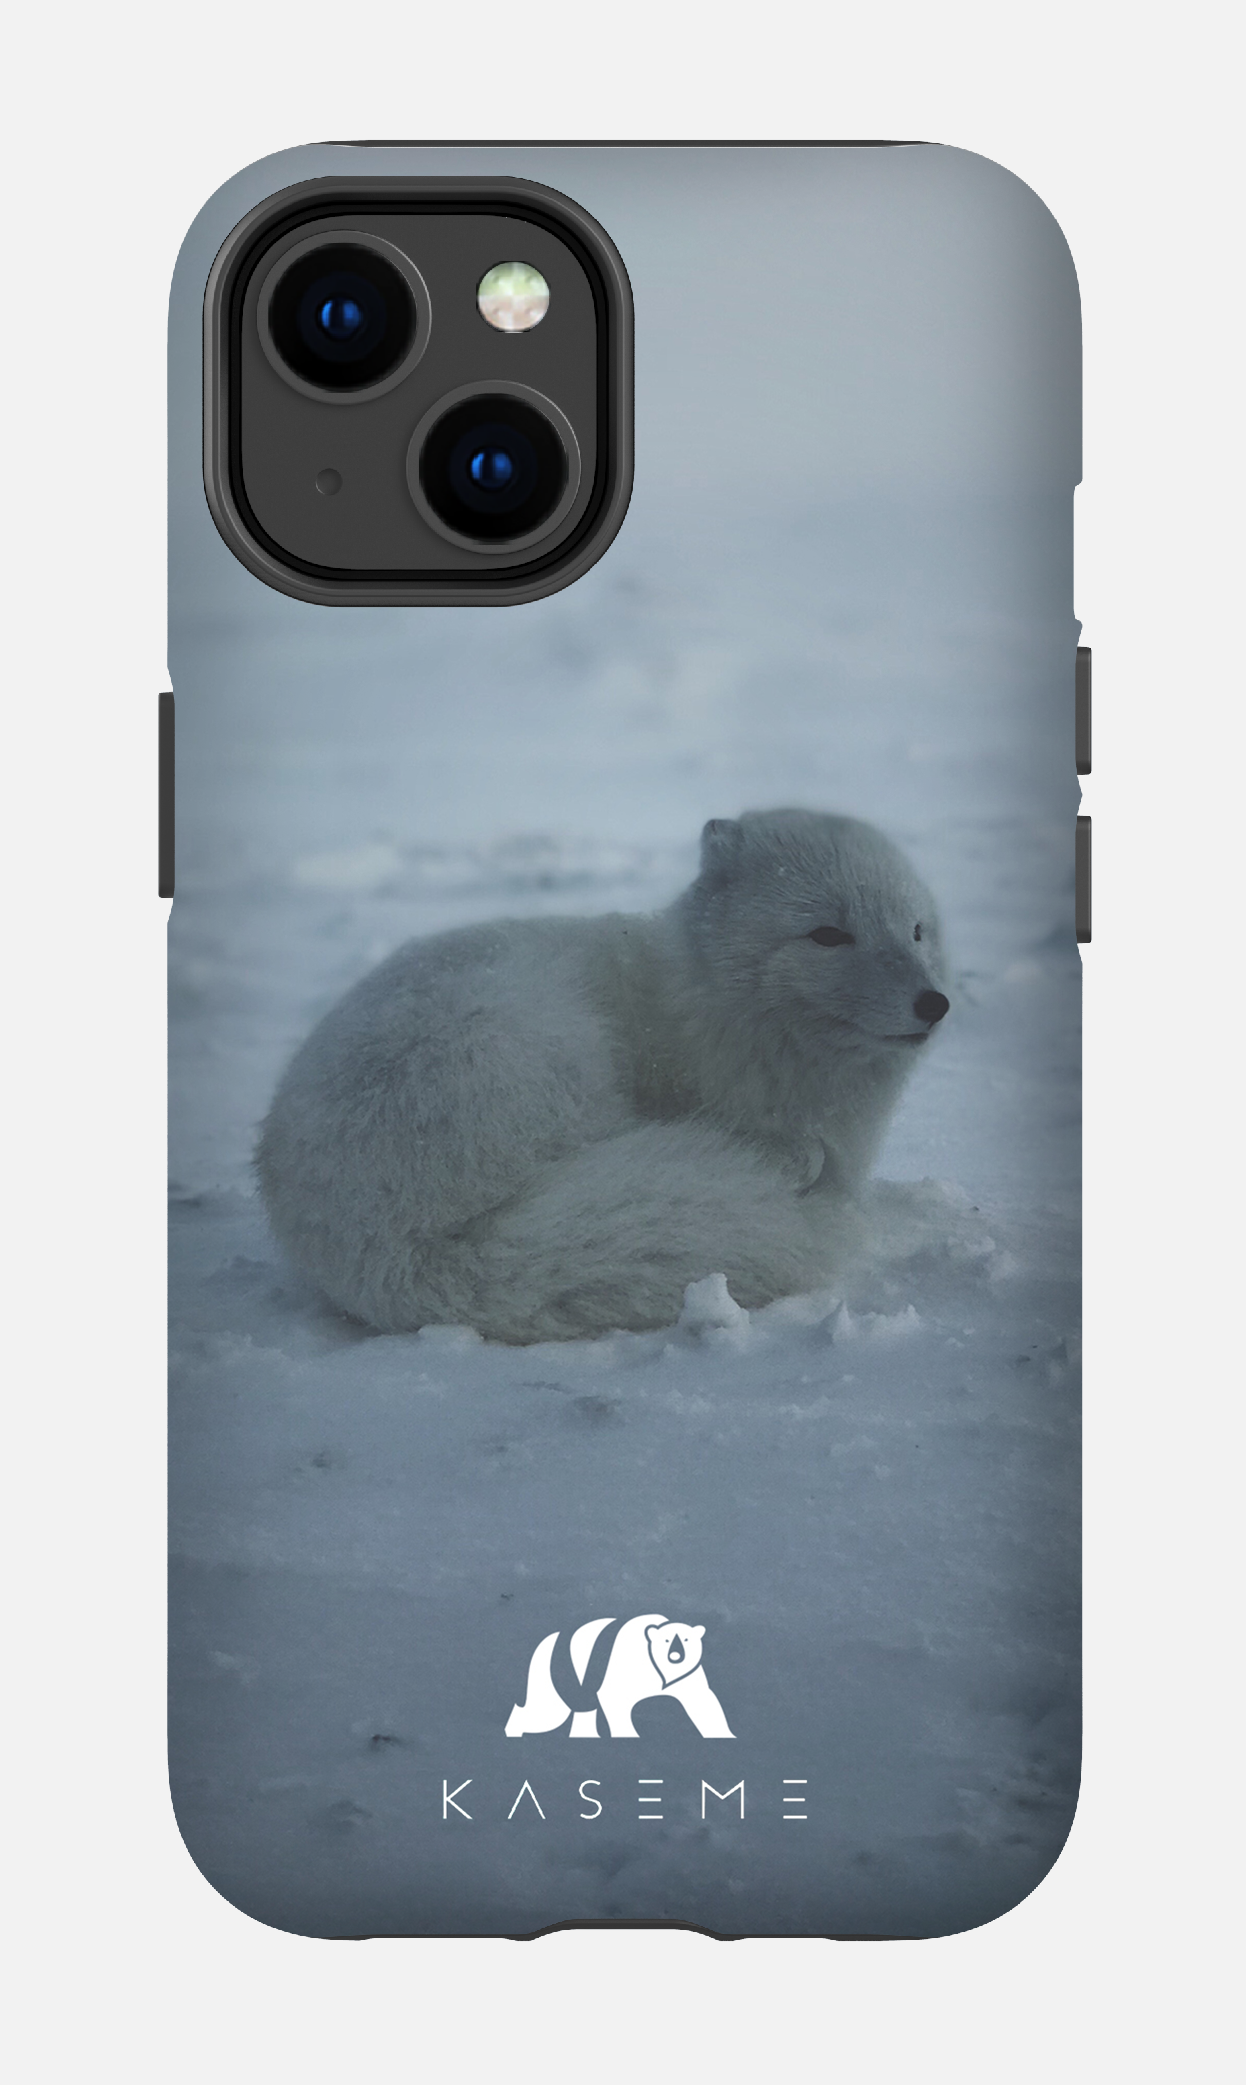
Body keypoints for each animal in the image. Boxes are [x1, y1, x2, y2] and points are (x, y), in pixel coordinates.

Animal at [256, 809, 950, 1343]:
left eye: (916, 930)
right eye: (828, 935)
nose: (935, 1003)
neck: (705, 1004)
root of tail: (395, 1252)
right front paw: (793, 1160)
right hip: (537, 1048)